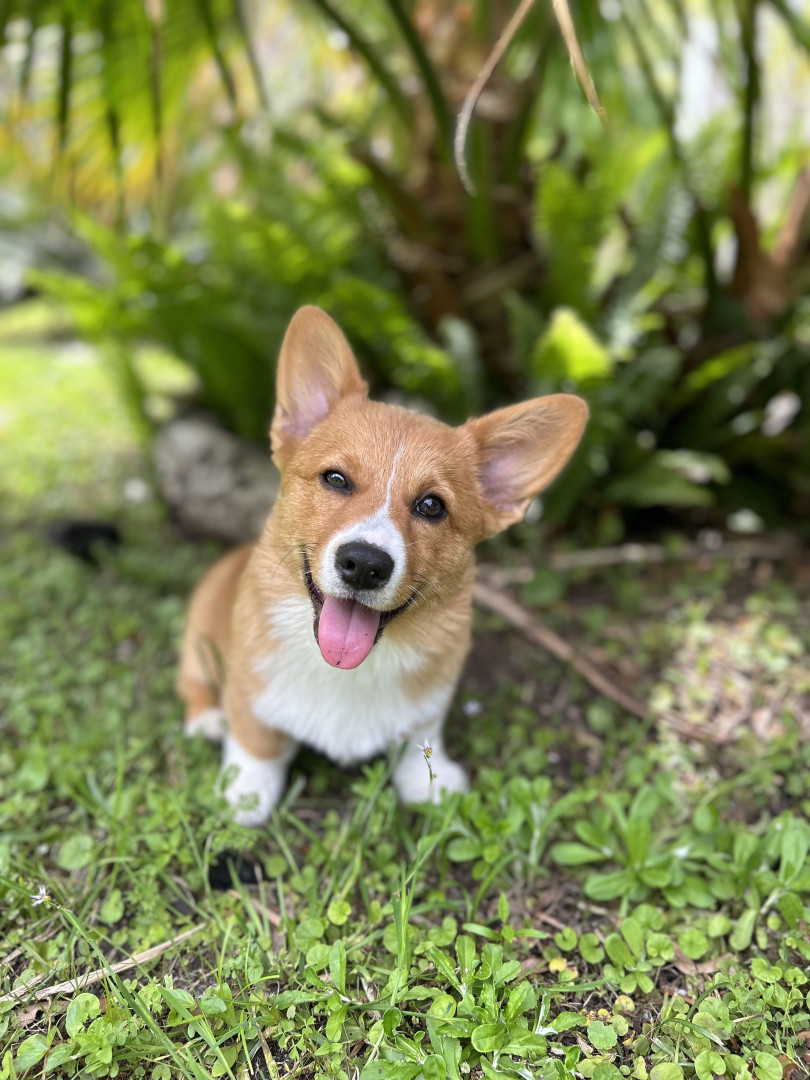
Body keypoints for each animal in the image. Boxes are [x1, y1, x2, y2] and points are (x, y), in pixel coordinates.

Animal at [178, 306, 587, 825]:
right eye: (336, 479)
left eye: (432, 506)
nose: (364, 565)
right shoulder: (249, 690)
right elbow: (257, 739)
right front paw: (245, 794)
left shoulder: (429, 705)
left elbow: (419, 740)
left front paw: (433, 784)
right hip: (198, 641)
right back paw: (208, 719)